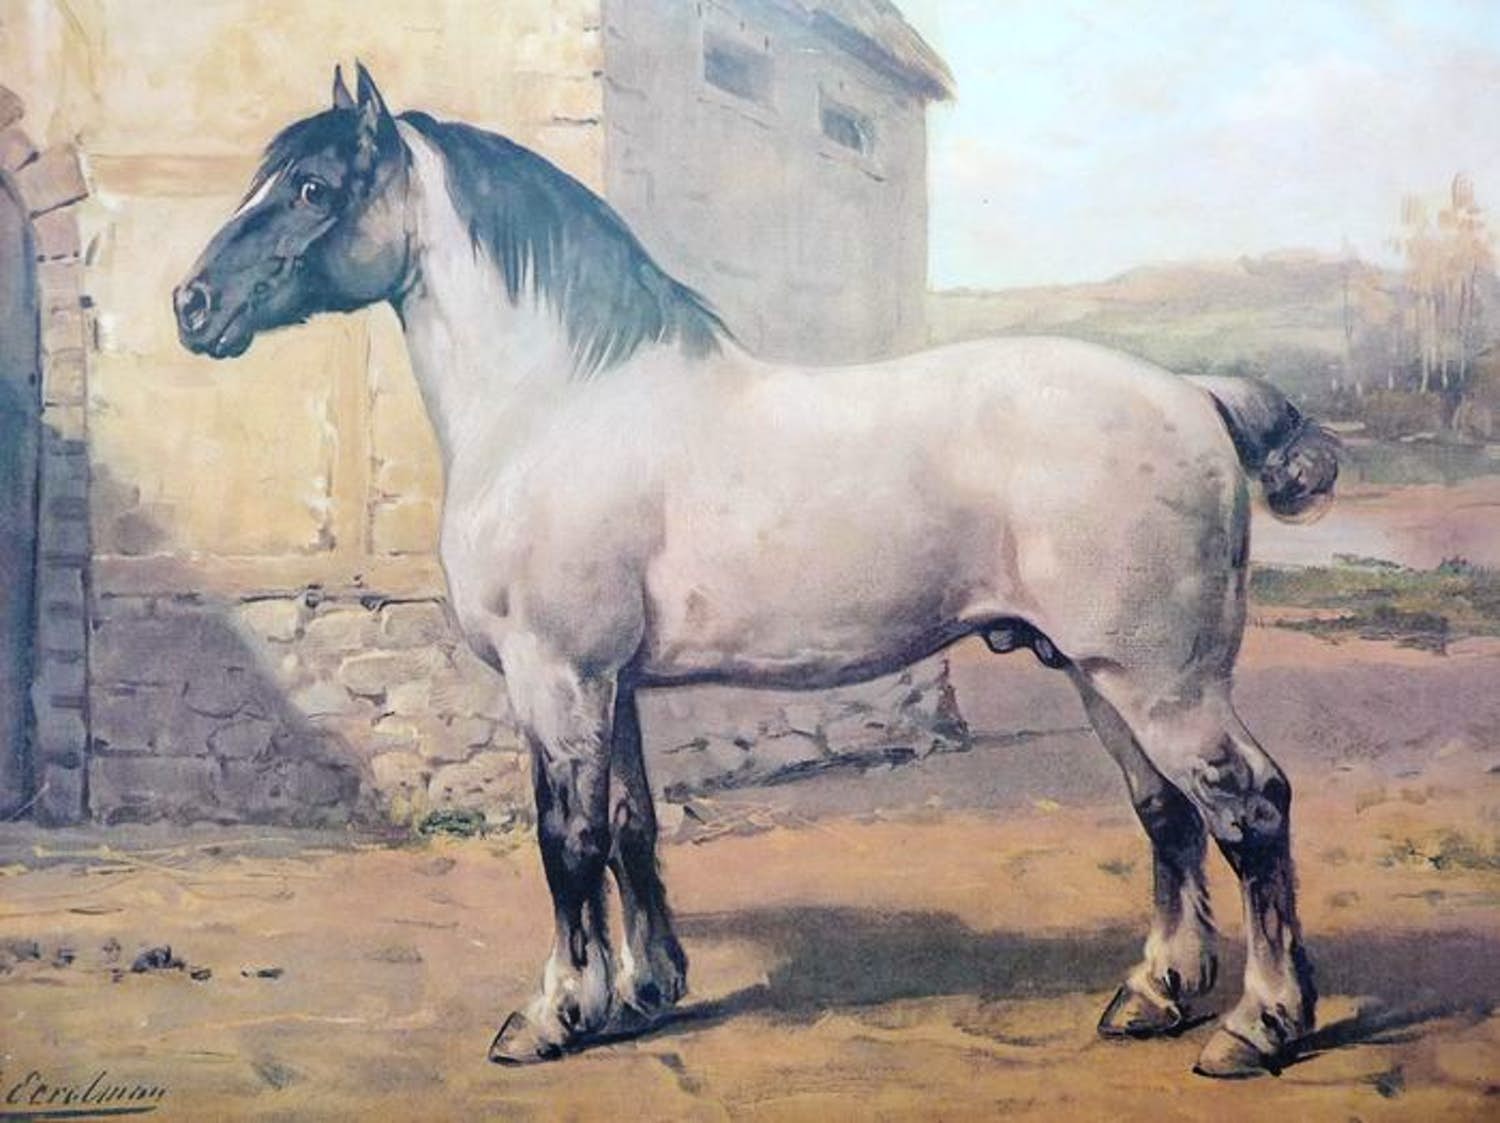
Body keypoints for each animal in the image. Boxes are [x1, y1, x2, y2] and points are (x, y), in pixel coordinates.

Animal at [175, 65, 1339, 1079]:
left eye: (312, 188)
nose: (191, 304)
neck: (560, 402)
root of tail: (1196, 394)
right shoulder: (612, 684)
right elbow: (631, 828)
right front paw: (644, 994)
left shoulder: (557, 676)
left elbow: (566, 839)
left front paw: (553, 1015)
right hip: (1100, 675)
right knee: (1167, 814)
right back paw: (1153, 995)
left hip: (1161, 681)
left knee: (1251, 806)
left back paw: (1257, 1027)